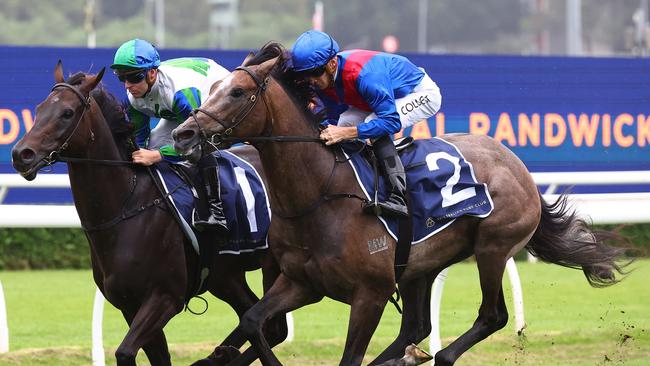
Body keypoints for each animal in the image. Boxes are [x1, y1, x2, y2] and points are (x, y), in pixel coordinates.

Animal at [11, 63, 284, 366]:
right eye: (39, 109)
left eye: (67, 113)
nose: (21, 154)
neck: (127, 207)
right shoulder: (129, 305)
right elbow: (156, 356)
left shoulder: (165, 297)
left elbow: (125, 351)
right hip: (224, 276)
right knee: (263, 323)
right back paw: (219, 354)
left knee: (271, 325)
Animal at [172, 43, 628, 366]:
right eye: (211, 89)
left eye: (237, 92)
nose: (183, 134)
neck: (319, 194)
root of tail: (519, 167)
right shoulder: (301, 282)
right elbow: (254, 321)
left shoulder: (370, 295)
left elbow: (348, 358)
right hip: (419, 266)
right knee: (415, 327)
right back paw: (408, 356)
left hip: (493, 246)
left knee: (491, 316)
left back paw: (437, 355)